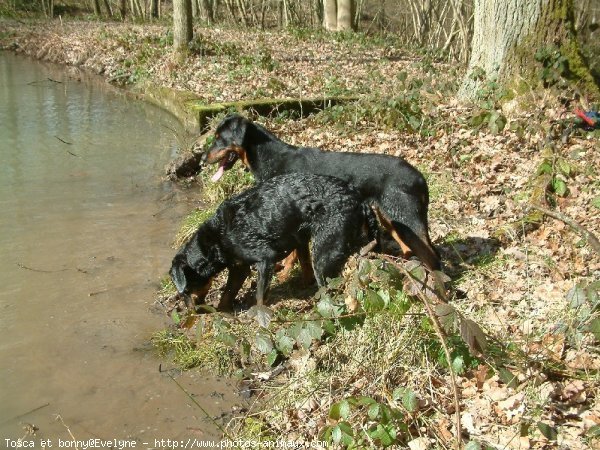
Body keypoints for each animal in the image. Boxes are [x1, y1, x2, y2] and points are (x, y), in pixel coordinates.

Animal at [169, 173, 376, 312]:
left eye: (185, 291)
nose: (191, 312)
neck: (216, 240)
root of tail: (361, 201)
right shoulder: (239, 267)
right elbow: (227, 294)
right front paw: (222, 313)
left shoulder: (265, 259)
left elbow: (260, 296)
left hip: (323, 253)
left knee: (328, 285)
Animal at [202, 116, 440, 270]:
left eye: (219, 138)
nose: (203, 159)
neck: (269, 157)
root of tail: (420, 177)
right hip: (391, 218)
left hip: (404, 216)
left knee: (431, 253)